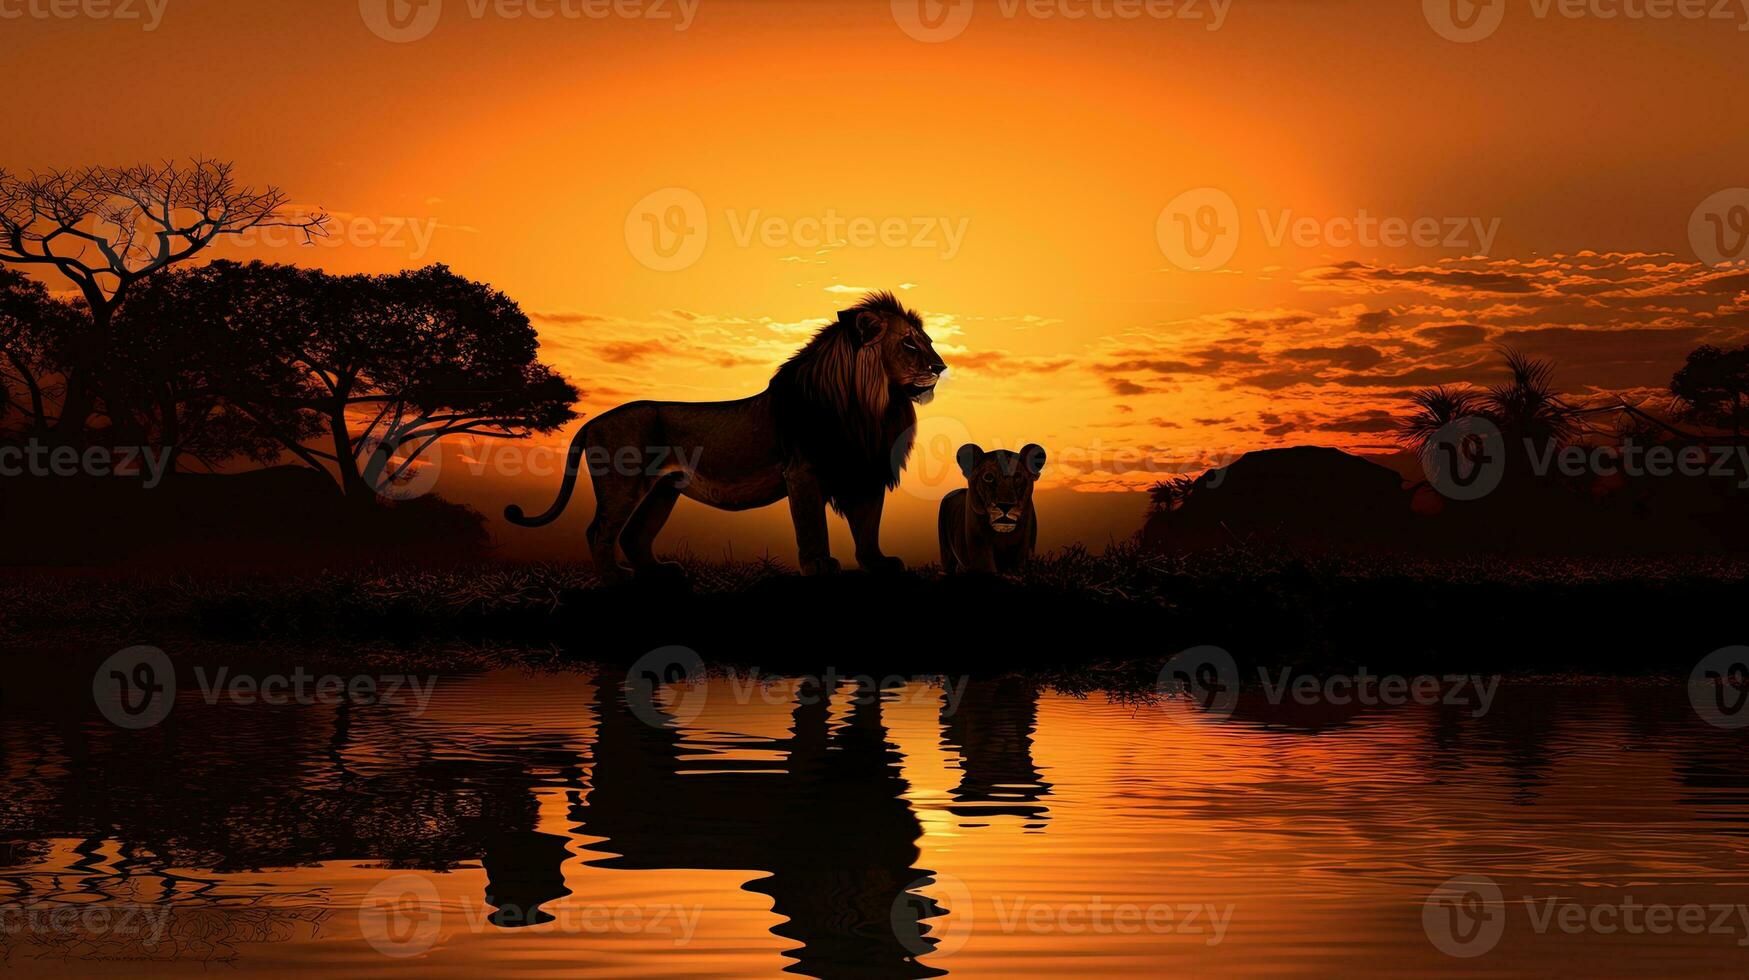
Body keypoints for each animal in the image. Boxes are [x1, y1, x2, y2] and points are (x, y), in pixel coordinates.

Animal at [507, 290, 944, 581]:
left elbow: (868, 525)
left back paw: (659, 573)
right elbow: (812, 526)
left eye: (928, 342)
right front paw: (819, 565)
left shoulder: (865, 471)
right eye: (909, 344)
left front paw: (880, 563)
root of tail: (591, 422)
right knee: (599, 531)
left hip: (662, 490)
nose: (941, 367)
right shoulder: (803, 472)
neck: (874, 406)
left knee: (633, 535)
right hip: (624, 485)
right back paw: (616, 580)